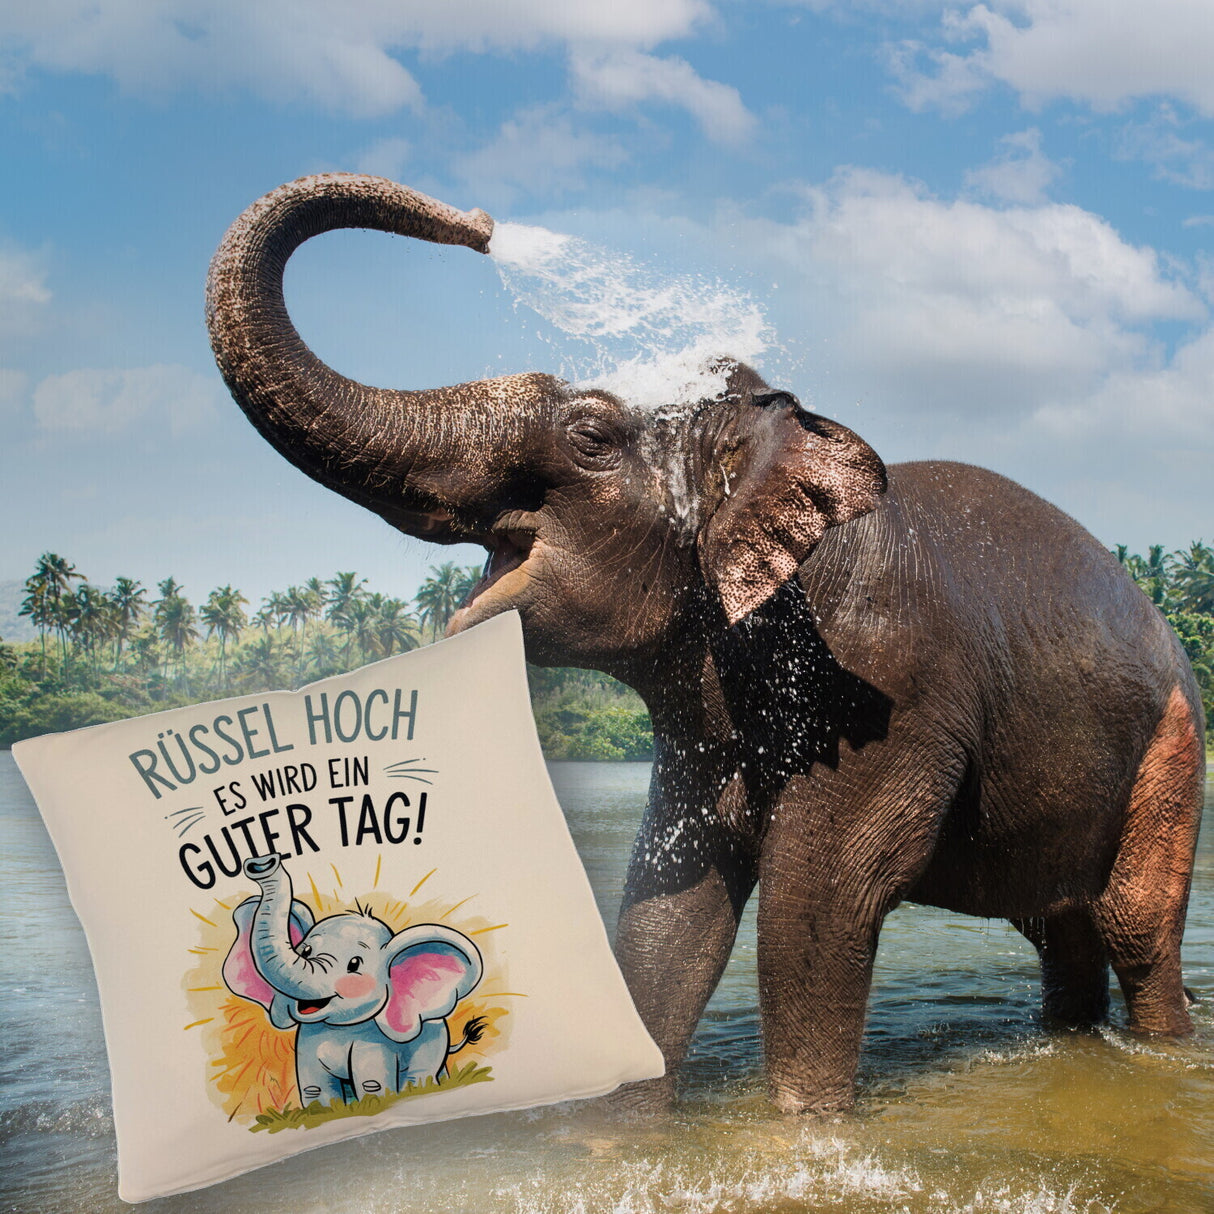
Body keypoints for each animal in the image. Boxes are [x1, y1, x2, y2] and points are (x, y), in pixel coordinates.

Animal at [222, 853, 484, 1105]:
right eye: (306, 951)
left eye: (354, 964)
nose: (263, 863)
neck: (340, 1027)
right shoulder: (307, 1040)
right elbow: (314, 1088)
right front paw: (328, 1112)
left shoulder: (374, 1041)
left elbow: (371, 1082)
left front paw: (375, 1104)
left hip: (433, 1040)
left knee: (421, 1073)